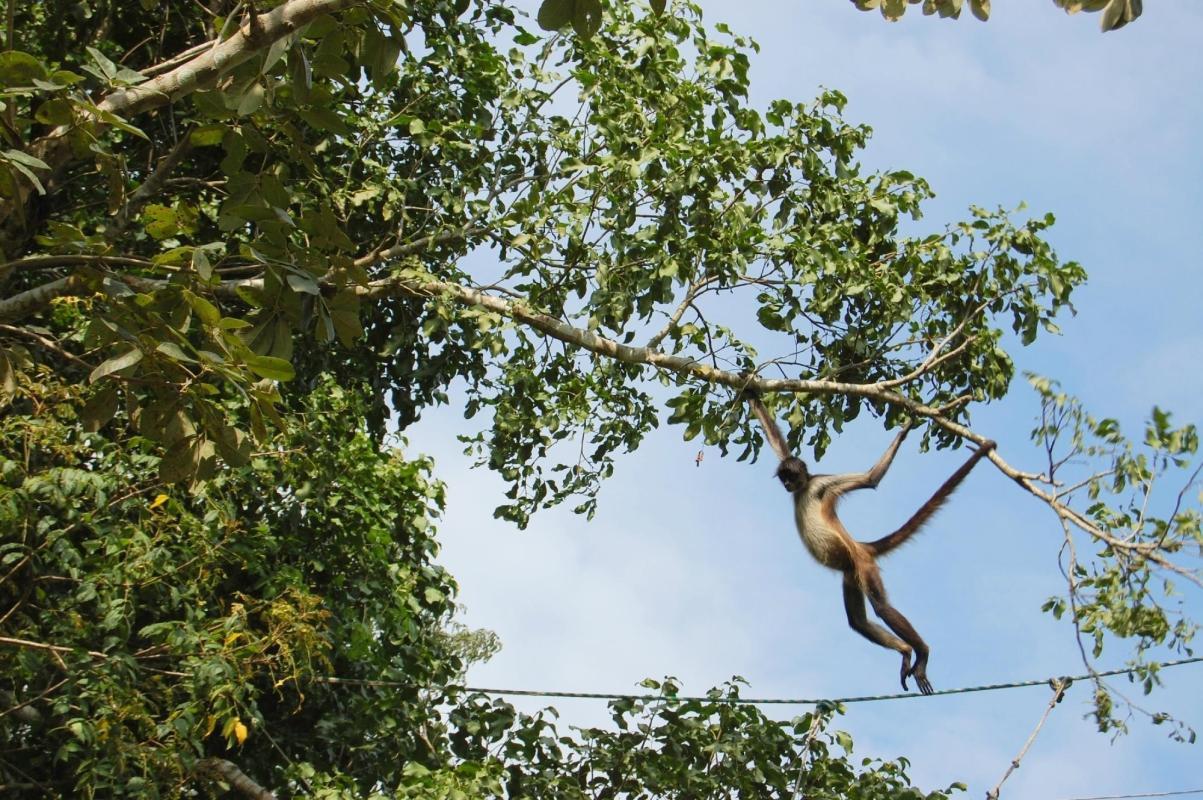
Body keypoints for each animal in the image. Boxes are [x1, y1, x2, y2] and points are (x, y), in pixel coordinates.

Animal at [741, 389, 996, 688]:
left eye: (792, 477)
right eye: (784, 478)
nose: (788, 485)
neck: (805, 489)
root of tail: (861, 546)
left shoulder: (822, 484)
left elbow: (870, 479)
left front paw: (905, 430)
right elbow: (774, 436)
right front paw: (749, 391)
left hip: (863, 566)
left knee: (882, 608)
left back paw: (921, 652)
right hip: (851, 574)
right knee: (858, 623)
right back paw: (906, 650)